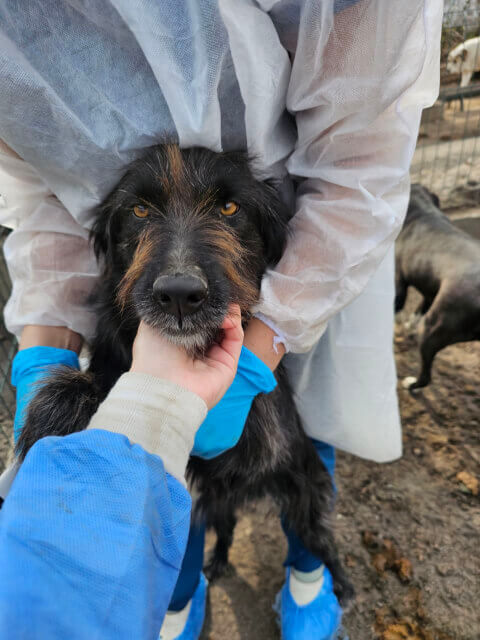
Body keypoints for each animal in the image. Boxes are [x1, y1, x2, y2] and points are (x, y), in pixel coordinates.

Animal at [395, 183, 480, 390]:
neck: (424, 211)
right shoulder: (430, 293)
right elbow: (416, 312)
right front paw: (408, 327)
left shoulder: (399, 283)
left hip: (433, 330)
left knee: (426, 377)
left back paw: (410, 384)